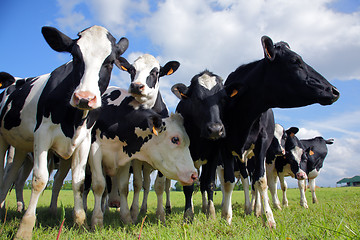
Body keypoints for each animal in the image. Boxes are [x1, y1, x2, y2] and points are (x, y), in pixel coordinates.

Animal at [0, 25, 129, 239]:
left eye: (110, 62)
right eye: (75, 57)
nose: (85, 98)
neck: (73, 120)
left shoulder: (84, 141)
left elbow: (78, 182)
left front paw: (80, 222)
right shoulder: (42, 135)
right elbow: (40, 179)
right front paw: (25, 228)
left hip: (20, 148)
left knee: (11, 176)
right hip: (3, 140)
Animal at [89, 86, 198, 229]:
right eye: (175, 139)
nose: (194, 175)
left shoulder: (126, 158)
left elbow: (125, 187)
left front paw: (130, 217)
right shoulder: (95, 150)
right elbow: (100, 185)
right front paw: (97, 221)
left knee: (159, 187)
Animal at [171, 70, 240, 222]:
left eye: (223, 99)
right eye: (196, 98)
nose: (215, 129)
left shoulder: (213, 155)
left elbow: (209, 183)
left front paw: (211, 213)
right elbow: (189, 186)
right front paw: (188, 215)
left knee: (202, 182)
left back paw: (204, 208)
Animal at [219, 36, 340, 229]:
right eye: (295, 61)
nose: (334, 90)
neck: (243, 114)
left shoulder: (262, 146)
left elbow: (261, 182)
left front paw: (268, 218)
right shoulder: (225, 147)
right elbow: (229, 183)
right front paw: (226, 216)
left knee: (259, 182)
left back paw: (257, 209)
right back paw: (250, 208)